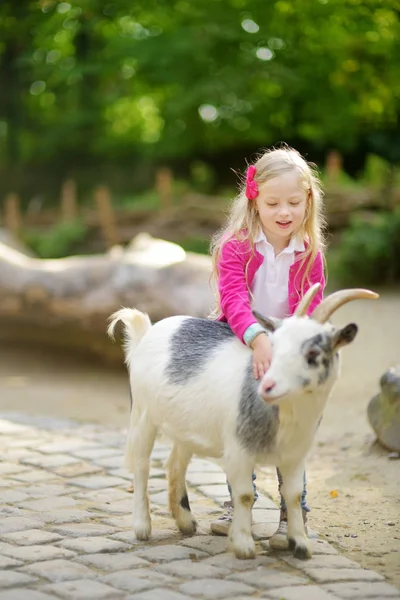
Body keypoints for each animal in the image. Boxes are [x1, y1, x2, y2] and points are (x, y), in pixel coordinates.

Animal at [108, 284, 378, 560]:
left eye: (313, 353)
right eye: (272, 348)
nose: (268, 386)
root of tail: (148, 332)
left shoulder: (295, 455)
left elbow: (292, 495)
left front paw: (299, 544)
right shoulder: (239, 451)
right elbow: (246, 495)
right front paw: (244, 546)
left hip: (186, 427)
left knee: (175, 464)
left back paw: (185, 522)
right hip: (143, 414)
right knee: (141, 465)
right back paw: (142, 526)